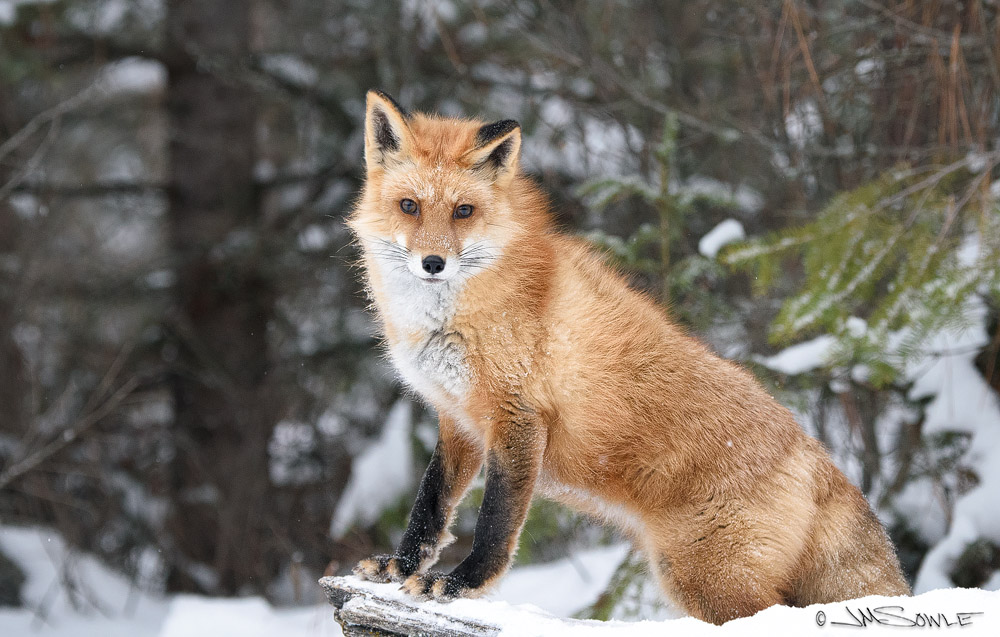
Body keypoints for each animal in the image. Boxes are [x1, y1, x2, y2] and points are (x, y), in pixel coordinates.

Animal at [346, 89, 909, 625]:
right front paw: (400, 566)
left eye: (463, 211)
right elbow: (430, 504)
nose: (433, 263)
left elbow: (495, 524)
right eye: (409, 206)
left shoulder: (517, 415)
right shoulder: (458, 417)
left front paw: (461, 584)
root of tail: (816, 455)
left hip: (701, 577)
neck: (451, 318)